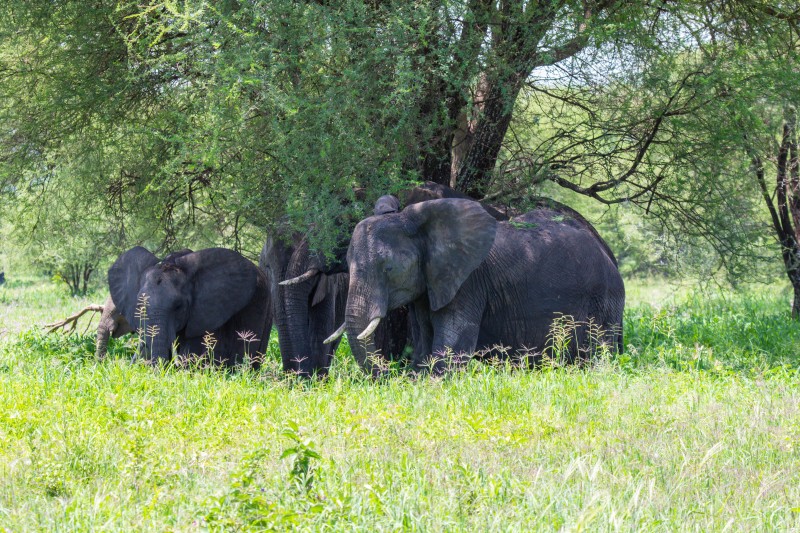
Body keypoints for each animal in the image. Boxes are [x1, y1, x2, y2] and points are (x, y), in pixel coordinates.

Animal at [338, 195, 624, 374]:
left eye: (388, 268)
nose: (390, 372)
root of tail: (607, 252)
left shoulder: (468, 283)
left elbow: (451, 350)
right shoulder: (427, 285)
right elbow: (423, 347)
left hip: (605, 300)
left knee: (599, 352)